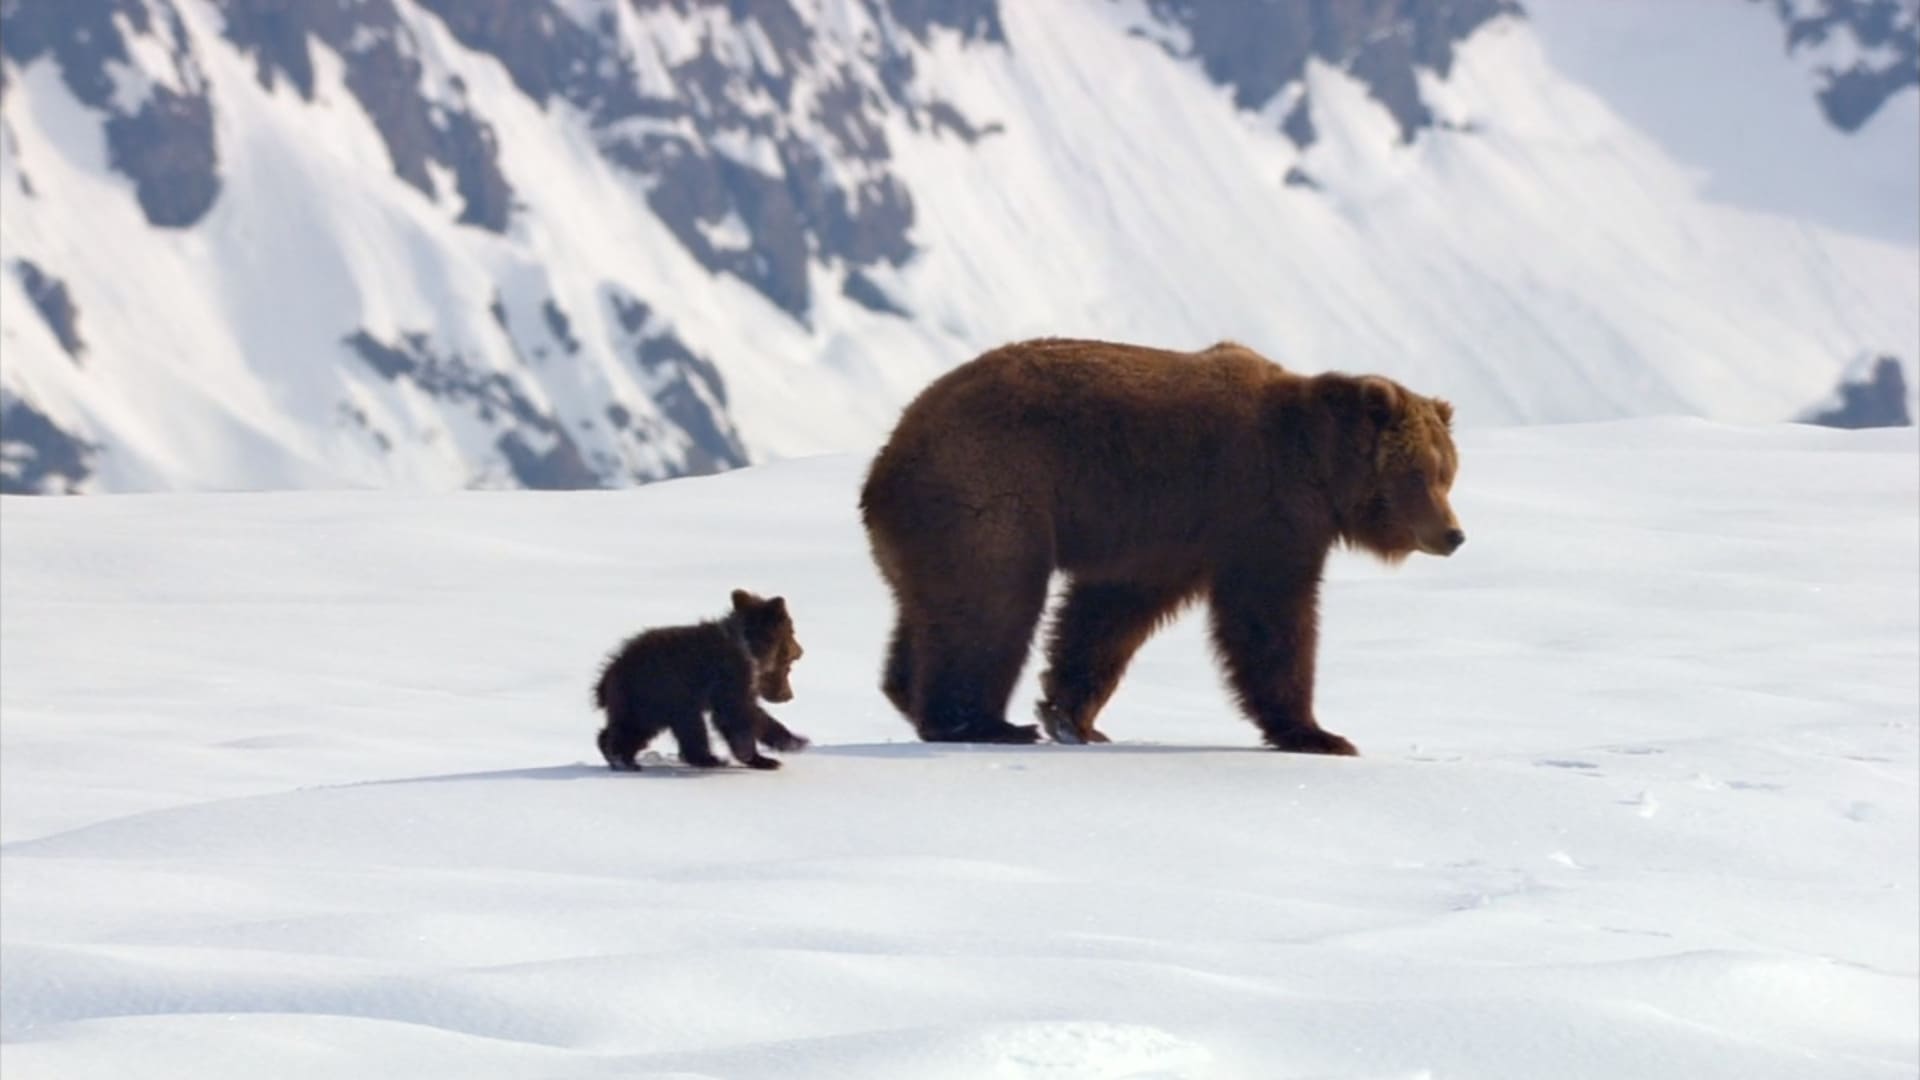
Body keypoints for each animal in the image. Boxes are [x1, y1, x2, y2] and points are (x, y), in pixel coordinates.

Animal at [593, 589, 809, 770]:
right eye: (792, 631)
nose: (801, 651)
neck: (749, 652)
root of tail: (609, 672)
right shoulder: (729, 677)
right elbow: (737, 716)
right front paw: (764, 757)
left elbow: (752, 714)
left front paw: (794, 741)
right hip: (651, 693)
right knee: (639, 727)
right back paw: (623, 759)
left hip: (664, 700)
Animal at [858, 337, 1463, 754]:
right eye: (1421, 473)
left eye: (1448, 472)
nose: (1453, 534)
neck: (1320, 467)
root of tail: (884, 464)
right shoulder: (1257, 511)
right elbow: (1270, 618)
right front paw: (1318, 733)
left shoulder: (1165, 532)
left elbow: (1107, 615)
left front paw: (1074, 716)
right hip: (989, 491)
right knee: (993, 603)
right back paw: (984, 723)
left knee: (931, 608)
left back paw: (912, 694)